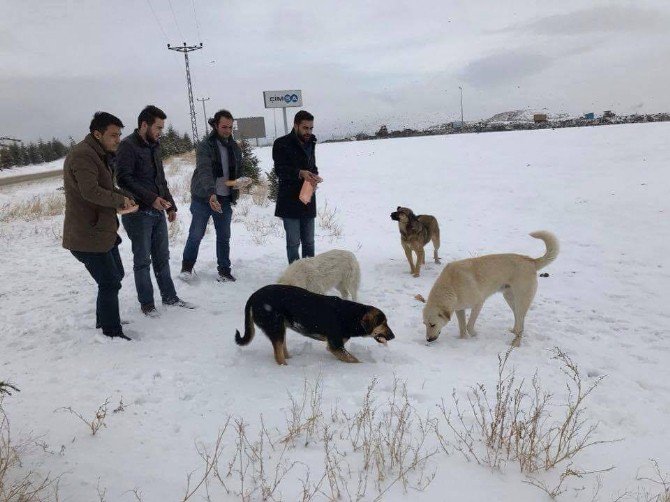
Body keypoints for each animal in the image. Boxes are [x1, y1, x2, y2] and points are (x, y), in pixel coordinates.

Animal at [235, 286, 394, 364]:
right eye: (383, 323)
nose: (393, 336)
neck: (352, 316)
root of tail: (253, 297)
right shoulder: (336, 346)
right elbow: (354, 360)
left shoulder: (336, 347)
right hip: (275, 326)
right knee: (278, 356)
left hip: (281, 327)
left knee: (281, 349)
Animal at [420, 230, 560, 346]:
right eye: (425, 324)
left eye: (432, 324)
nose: (428, 339)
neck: (451, 286)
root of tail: (531, 261)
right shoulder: (459, 309)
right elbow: (462, 327)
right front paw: (463, 339)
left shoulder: (478, 304)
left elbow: (469, 325)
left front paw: (475, 335)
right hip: (510, 299)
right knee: (519, 321)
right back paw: (514, 332)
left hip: (521, 301)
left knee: (521, 324)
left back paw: (515, 344)